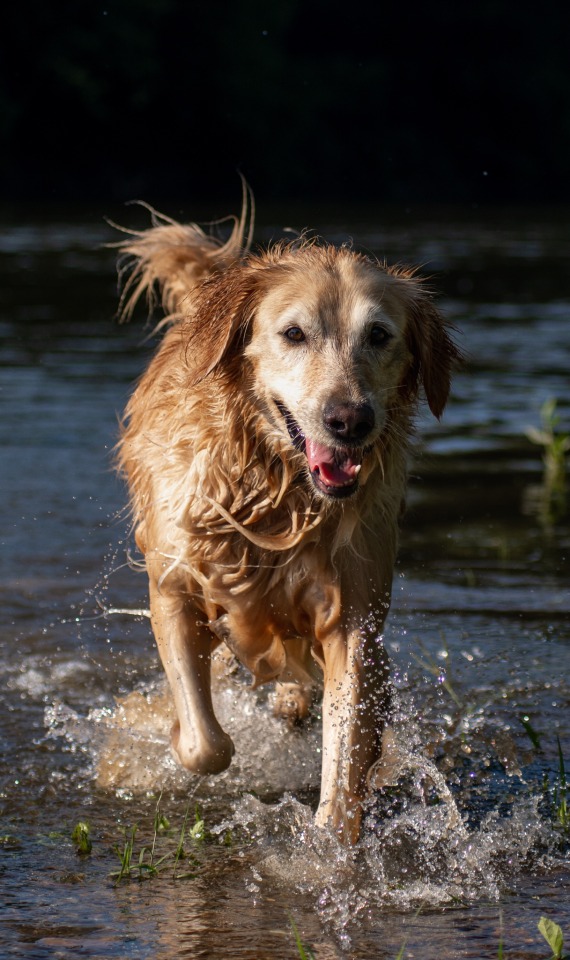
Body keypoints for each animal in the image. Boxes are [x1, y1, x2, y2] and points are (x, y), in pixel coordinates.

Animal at [115, 193, 458, 840]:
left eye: (379, 335)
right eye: (294, 333)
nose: (349, 419)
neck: (279, 496)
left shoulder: (353, 618)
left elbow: (346, 753)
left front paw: (332, 837)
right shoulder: (172, 584)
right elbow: (206, 745)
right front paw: (174, 730)